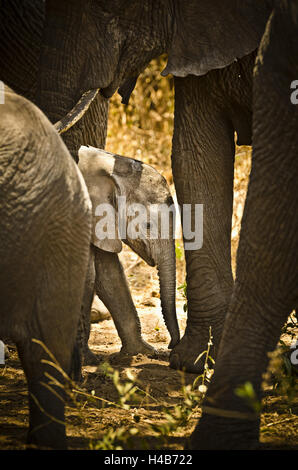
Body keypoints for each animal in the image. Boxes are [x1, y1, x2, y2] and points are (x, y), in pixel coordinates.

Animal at [77, 145, 179, 362]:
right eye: (147, 225)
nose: (171, 345)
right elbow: (87, 276)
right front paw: (86, 360)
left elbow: (109, 274)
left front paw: (143, 352)